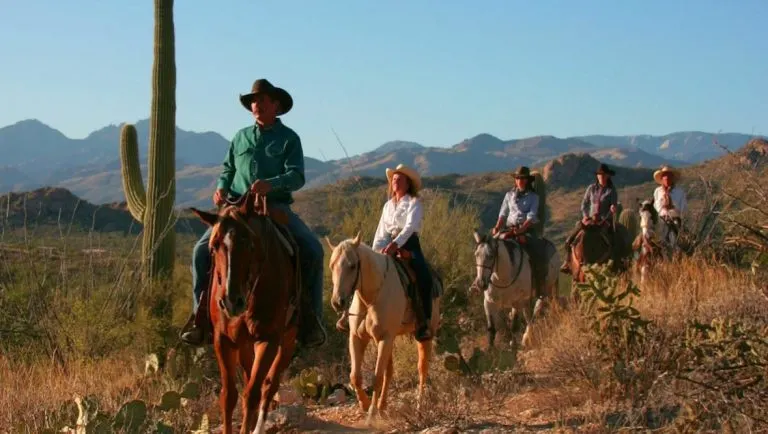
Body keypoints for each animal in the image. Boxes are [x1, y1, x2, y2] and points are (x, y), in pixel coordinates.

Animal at [189, 193, 300, 434]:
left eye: (249, 243)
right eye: (214, 246)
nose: (232, 301)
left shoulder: (268, 340)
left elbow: (252, 394)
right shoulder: (223, 340)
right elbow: (229, 396)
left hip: (287, 340)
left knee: (269, 385)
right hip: (244, 343)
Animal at [326, 232, 444, 426]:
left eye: (352, 265)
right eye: (331, 265)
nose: (338, 302)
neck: (371, 296)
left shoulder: (384, 338)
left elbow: (376, 377)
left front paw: (371, 414)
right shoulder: (358, 338)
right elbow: (355, 376)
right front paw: (365, 405)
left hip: (423, 336)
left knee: (422, 370)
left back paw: (418, 408)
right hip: (389, 339)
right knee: (390, 372)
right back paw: (383, 407)